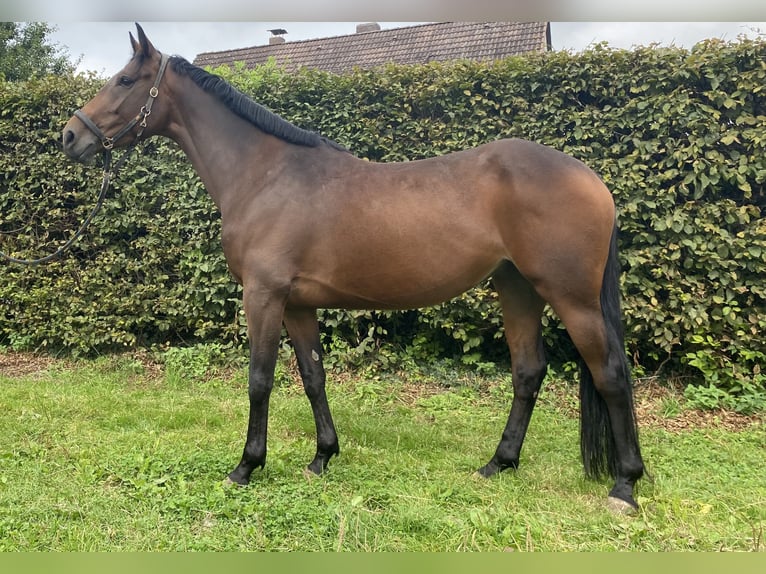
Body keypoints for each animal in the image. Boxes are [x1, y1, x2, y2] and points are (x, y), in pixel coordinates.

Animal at [63, 25, 644, 512]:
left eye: (124, 79)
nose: (70, 136)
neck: (266, 174)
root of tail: (593, 180)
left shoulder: (264, 296)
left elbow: (260, 379)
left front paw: (246, 466)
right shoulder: (297, 303)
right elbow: (313, 376)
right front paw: (322, 456)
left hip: (571, 297)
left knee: (611, 375)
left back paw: (624, 486)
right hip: (517, 287)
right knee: (528, 372)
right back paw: (498, 464)